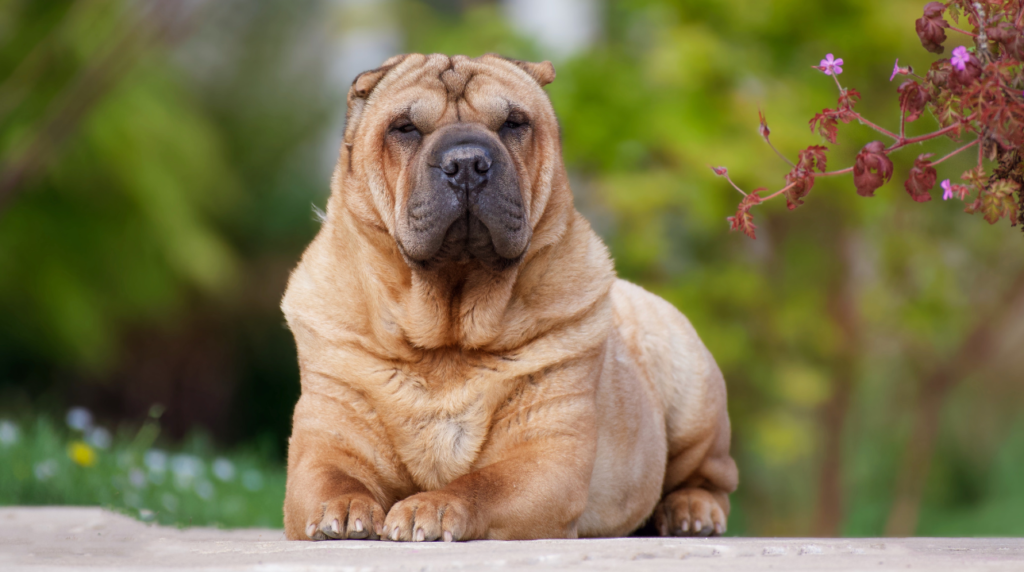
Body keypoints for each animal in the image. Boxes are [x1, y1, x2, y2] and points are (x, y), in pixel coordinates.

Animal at [280, 52, 737, 540]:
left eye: (514, 123)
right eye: (404, 128)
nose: (466, 162)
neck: (447, 336)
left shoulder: (544, 457)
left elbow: (481, 484)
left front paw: (429, 507)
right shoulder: (326, 442)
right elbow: (333, 477)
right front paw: (344, 508)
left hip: (692, 391)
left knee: (710, 475)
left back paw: (690, 512)